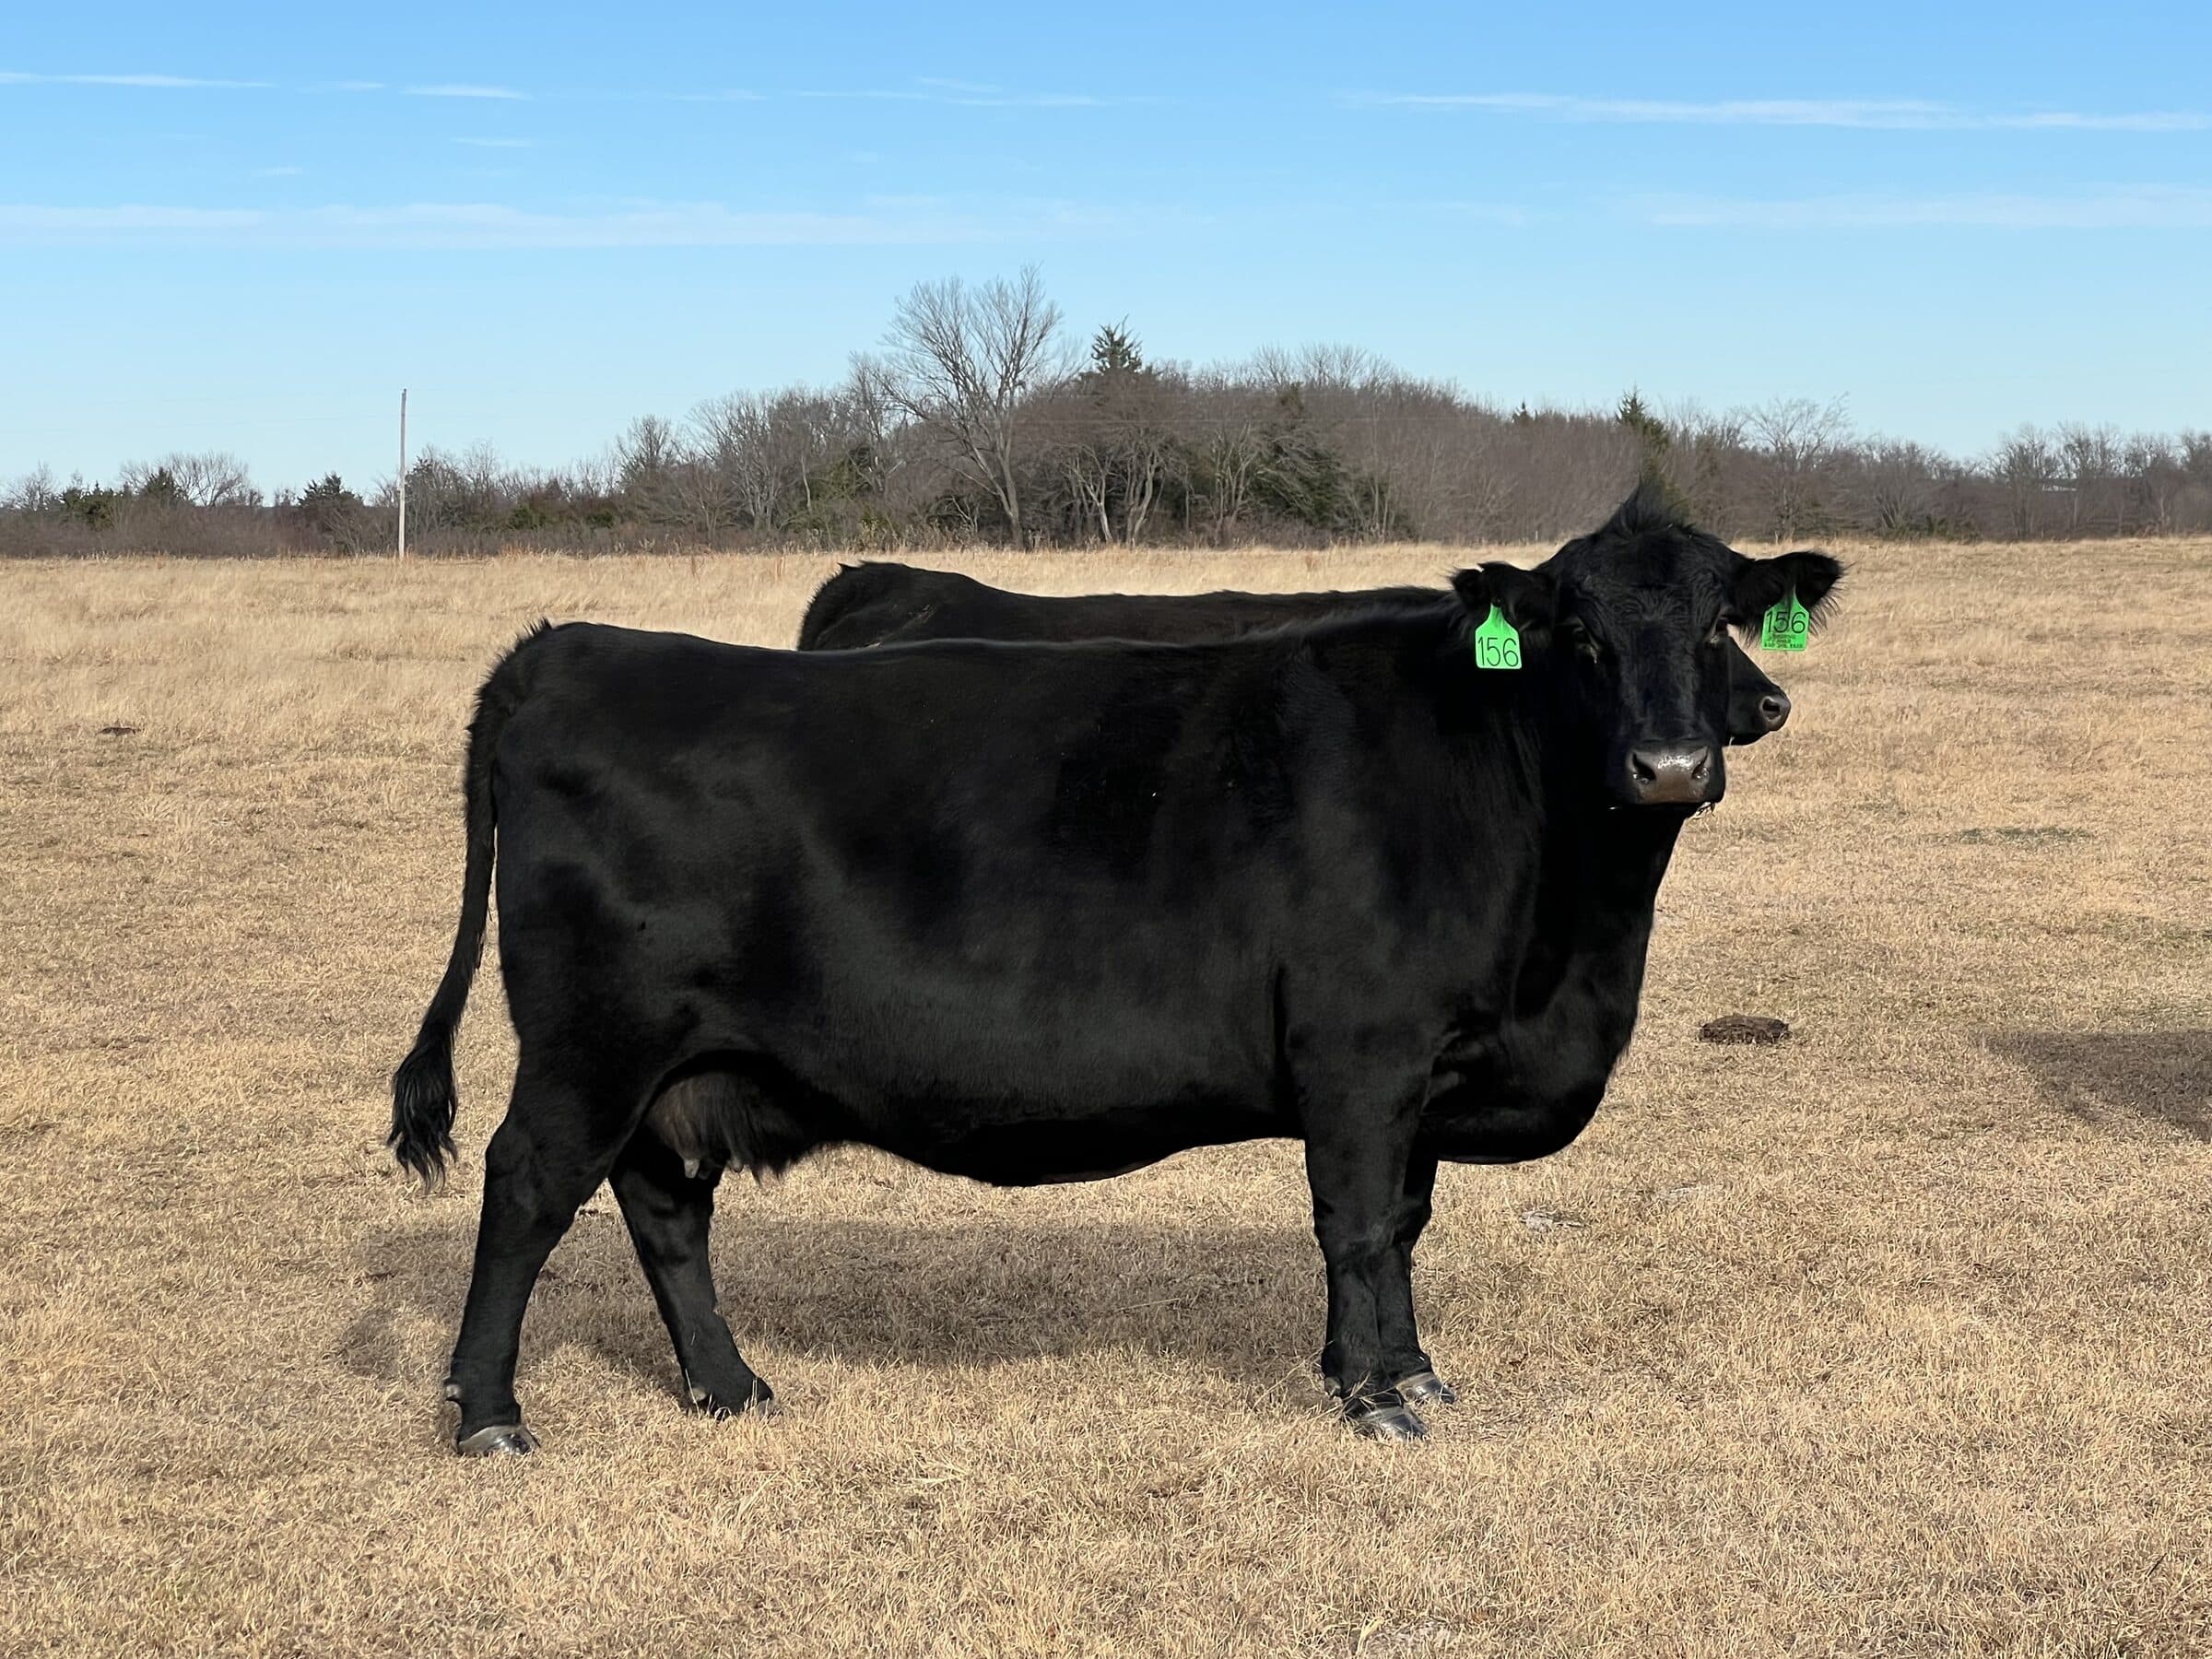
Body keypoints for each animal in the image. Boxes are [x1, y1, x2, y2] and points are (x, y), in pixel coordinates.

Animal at [390, 484, 1842, 1455]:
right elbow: (1359, 1222)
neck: (1572, 939)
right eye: (1580, 636)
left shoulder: (1425, 1067)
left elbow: (1404, 1223)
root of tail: (570, 646)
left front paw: (1401, 1368)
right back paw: (491, 1414)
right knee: (529, 1190)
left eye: (1715, 622)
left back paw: (730, 1387)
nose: (1674, 762)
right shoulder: (1361, 1053)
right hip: (593, 1044)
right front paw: (1375, 1397)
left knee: (664, 1205)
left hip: (674, 1062)